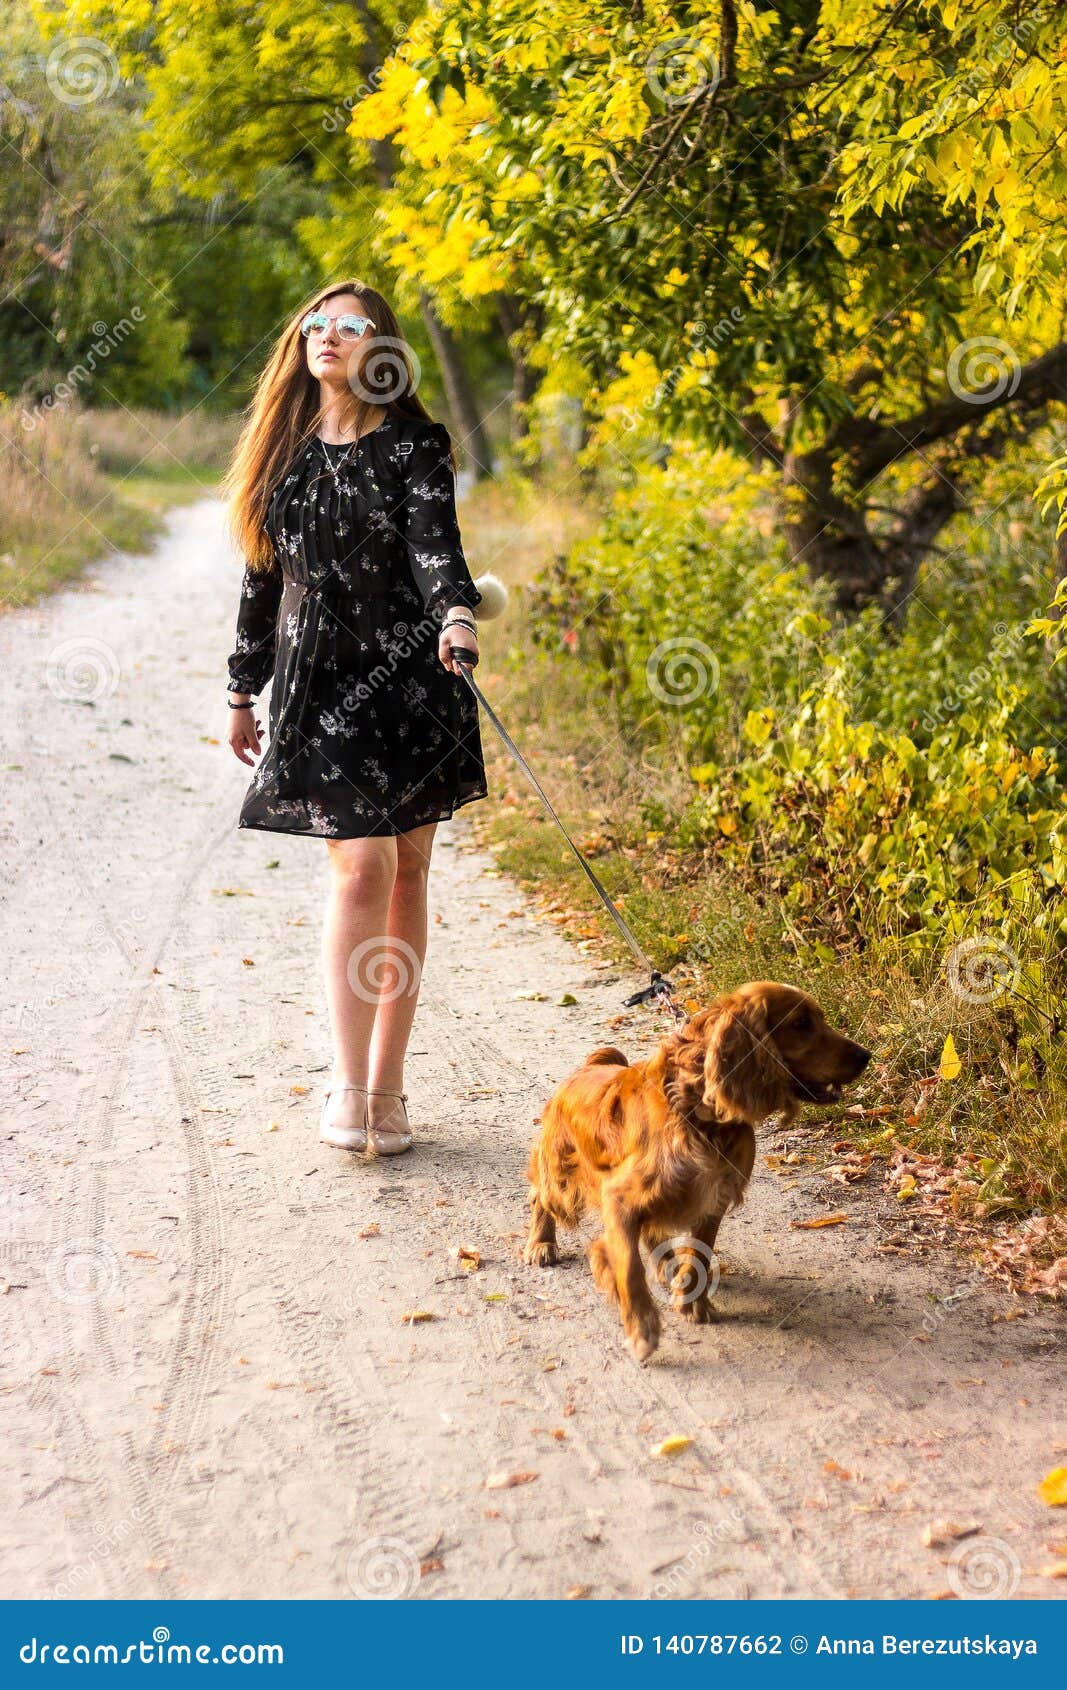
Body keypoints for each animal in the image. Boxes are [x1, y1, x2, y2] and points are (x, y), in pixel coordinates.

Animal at [520, 980, 872, 1358]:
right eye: (801, 1023)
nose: (865, 1055)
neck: (697, 1110)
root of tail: (589, 1066)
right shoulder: (620, 1197)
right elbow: (628, 1266)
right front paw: (642, 1328)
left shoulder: (714, 1196)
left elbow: (699, 1252)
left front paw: (692, 1302)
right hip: (562, 1180)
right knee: (540, 1196)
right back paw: (541, 1244)